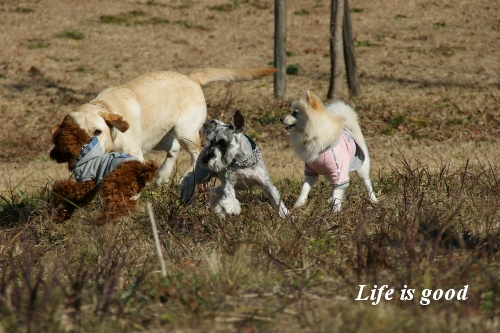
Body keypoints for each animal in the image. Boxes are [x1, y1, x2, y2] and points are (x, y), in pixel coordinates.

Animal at [53, 66, 280, 185]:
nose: (84, 152)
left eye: (97, 132)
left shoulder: (135, 154)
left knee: (195, 154)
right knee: (173, 149)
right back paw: (162, 176)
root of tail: (190, 78)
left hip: (184, 131)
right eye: (73, 135)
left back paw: (189, 176)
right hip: (159, 137)